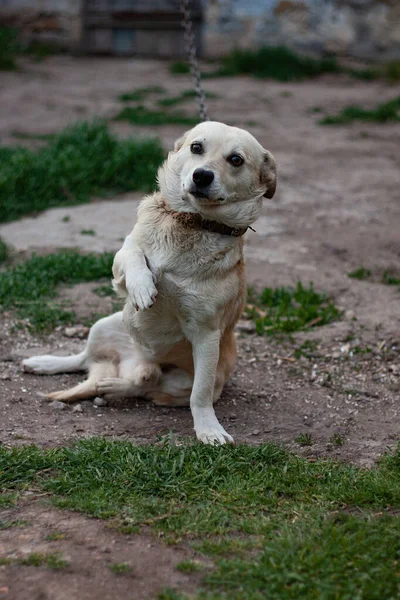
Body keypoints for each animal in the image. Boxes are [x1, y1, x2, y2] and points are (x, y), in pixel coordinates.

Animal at [23, 122, 276, 442]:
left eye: (236, 160)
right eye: (196, 147)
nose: (202, 175)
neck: (190, 224)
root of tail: (134, 362)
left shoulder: (206, 335)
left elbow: (200, 396)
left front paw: (209, 430)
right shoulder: (120, 260)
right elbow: (134, 256)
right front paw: (144, 288)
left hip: (181, 378)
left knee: (147, 386)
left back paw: (114, 386)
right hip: (103, 325)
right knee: (82, 359)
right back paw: (45, 363)